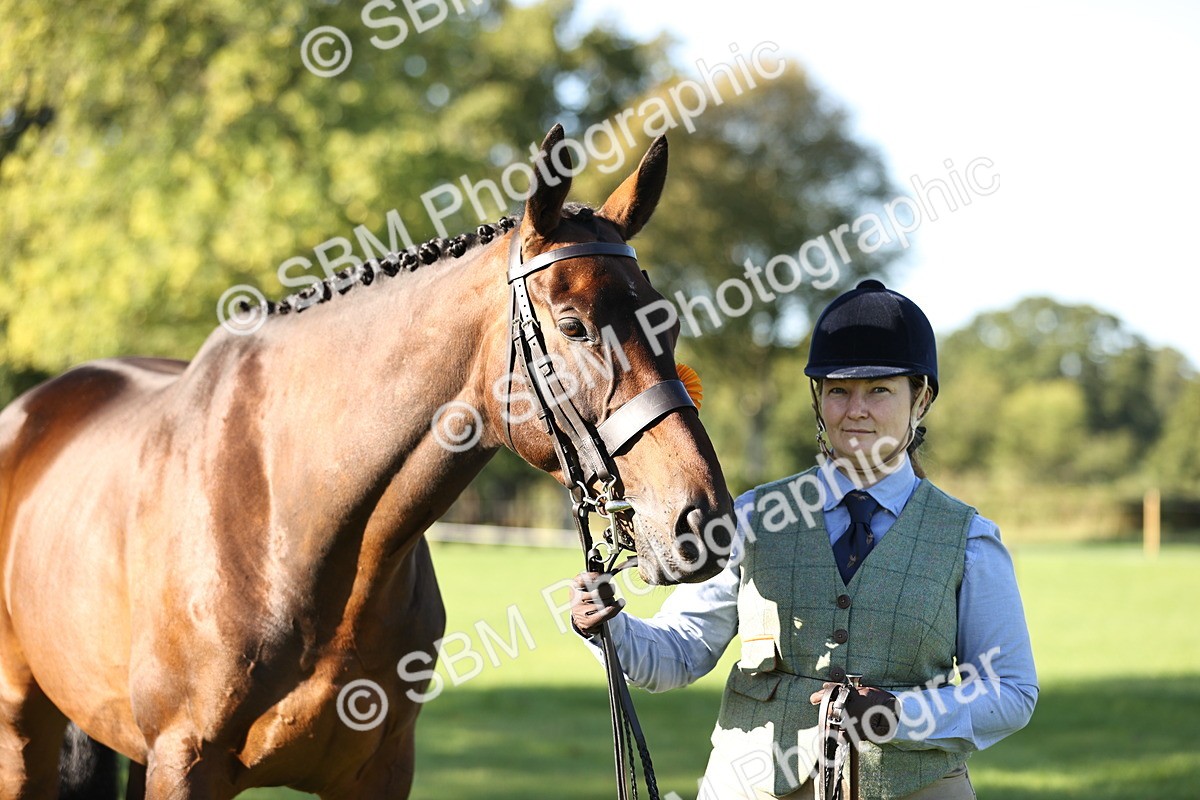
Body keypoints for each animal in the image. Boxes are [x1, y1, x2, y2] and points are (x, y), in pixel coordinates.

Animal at [0, 124, 733, 799]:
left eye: (666, 321)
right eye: (573, 324)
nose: (701, 522)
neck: (291, 530)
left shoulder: (379, 770)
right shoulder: (182, 762)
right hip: (24, 728)